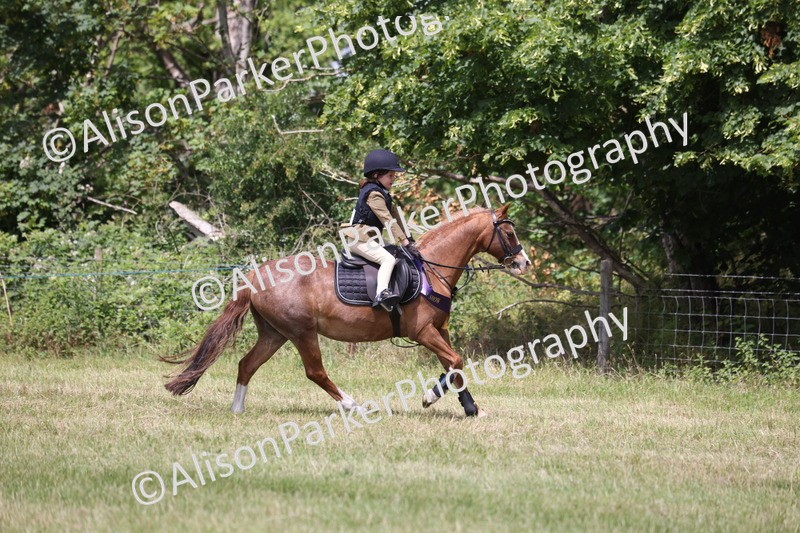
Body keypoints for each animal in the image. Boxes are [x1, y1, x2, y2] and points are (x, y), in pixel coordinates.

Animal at [162, 204, 531, 417]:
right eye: (510, 232)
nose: (524, 263)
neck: (431, 269)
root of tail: (254, 277)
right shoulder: (423, 332)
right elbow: (455, 361)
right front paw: (429, 398)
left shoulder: (440, 330)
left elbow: (454, 366)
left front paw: (470, 408)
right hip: (301, 332)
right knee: (315, 371)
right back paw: (353, 405)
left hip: (275, 333)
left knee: (247, 364)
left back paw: (238, 409)